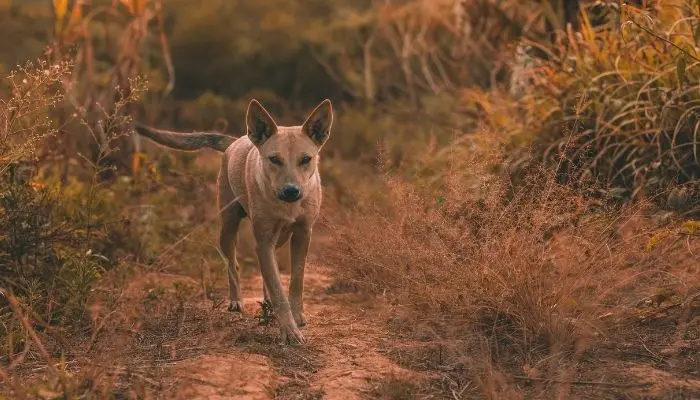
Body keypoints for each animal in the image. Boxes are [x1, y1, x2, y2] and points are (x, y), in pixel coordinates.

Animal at [137, 99, 336, 344]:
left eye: (306, 159)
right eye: (274, 159)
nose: (291, 191)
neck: (285, 205)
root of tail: (235, 141)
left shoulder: (302, 234)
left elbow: (295, 280)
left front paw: (297, 316)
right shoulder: (264, 241)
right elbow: (278, 289)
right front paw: (289, 330)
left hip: (276, 238)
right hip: (228, 227)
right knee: (233, 264)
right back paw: (236, 300)